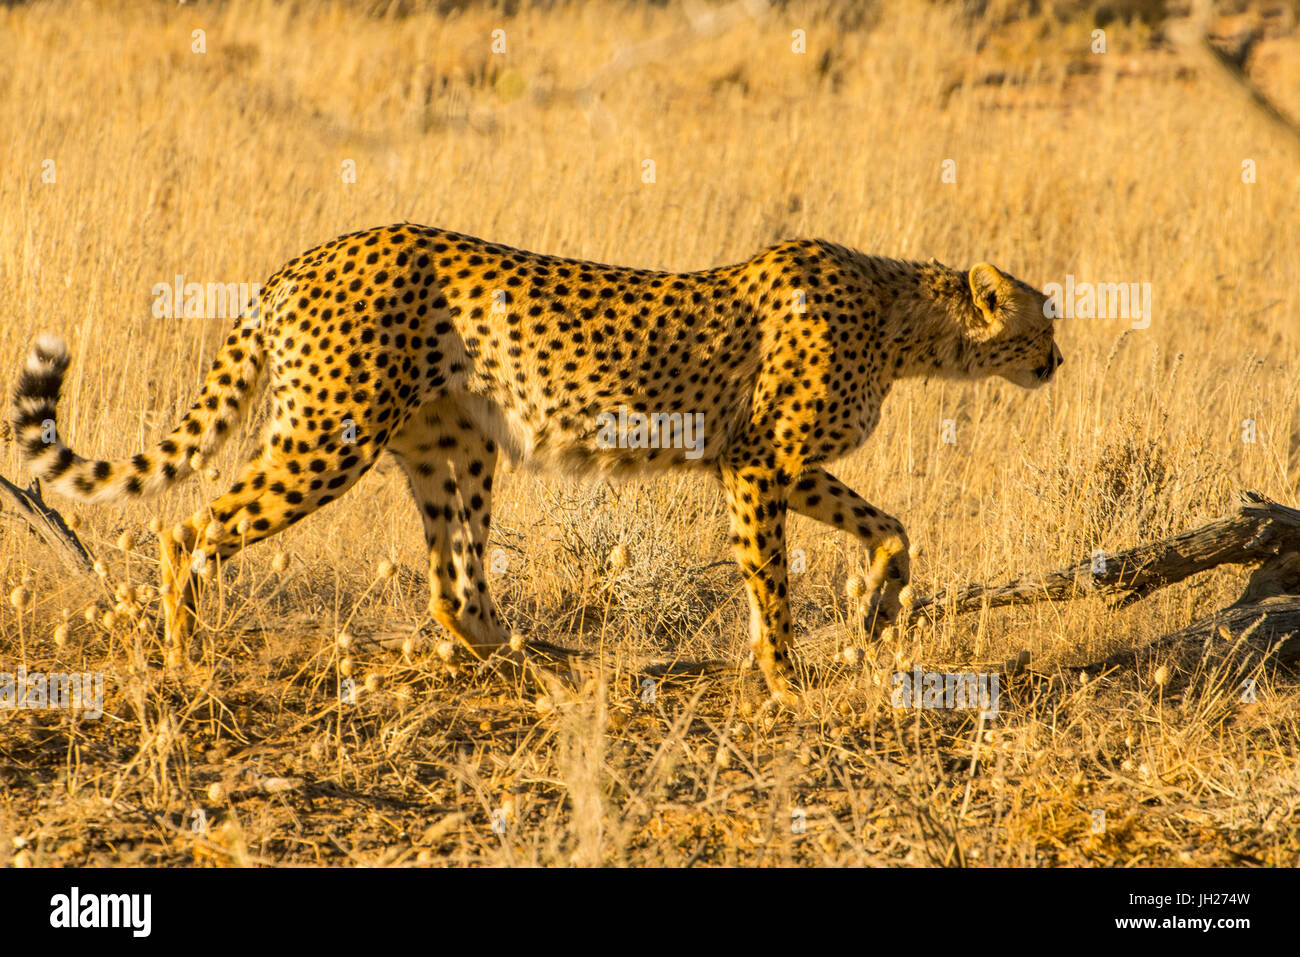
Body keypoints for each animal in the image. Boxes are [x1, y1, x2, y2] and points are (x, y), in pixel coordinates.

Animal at [15, 223, 1060, 702]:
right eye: (1043, 319)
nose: (1057, 360)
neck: (905, 317)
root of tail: (307, 257)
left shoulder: (781, 465)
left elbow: (894, 528)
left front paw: (876, 611)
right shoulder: (760, 463)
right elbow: (772, 582)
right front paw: (785, 675)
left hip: (455, 446)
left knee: (456, 591)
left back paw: (550, 661)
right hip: (328, 438)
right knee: (188, 526)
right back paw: (185, 657)